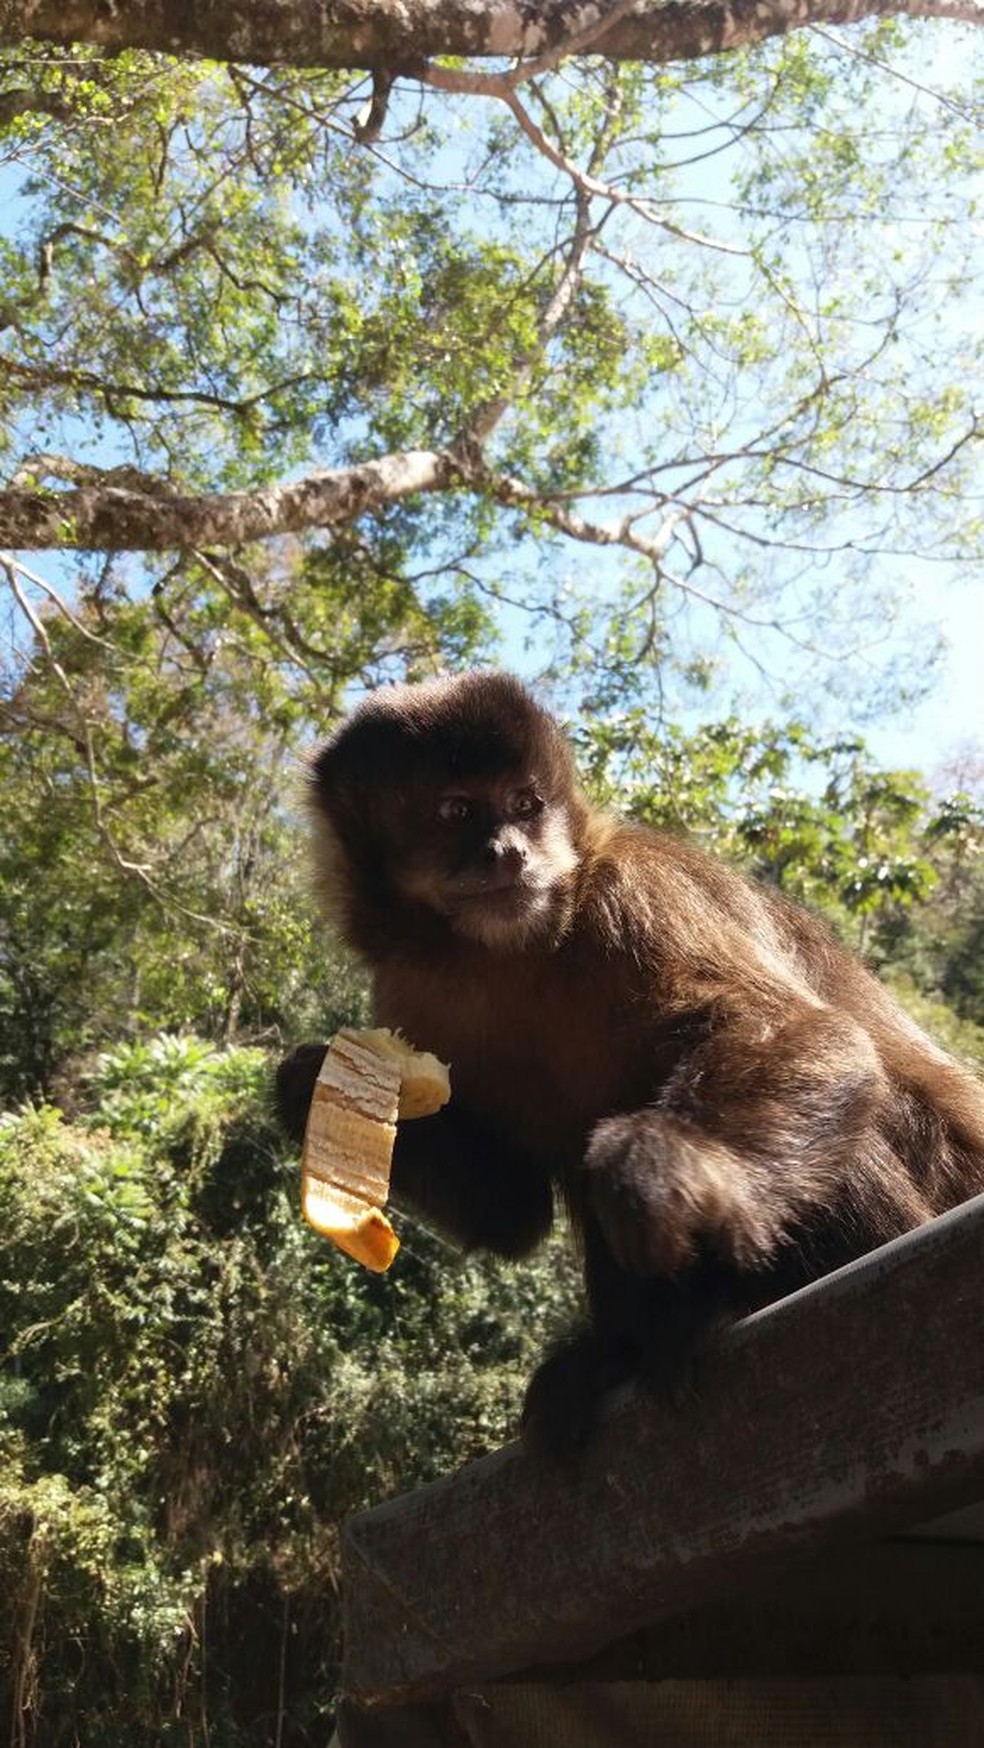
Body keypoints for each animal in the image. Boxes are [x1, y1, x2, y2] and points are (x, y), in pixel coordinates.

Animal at [276, 670, 984, 1455]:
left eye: (524, 805)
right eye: (457, 810)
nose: (509, 851)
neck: (505, 952)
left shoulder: (636, 889)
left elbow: (812, 1035)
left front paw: (674, 1169)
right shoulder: (408, 989)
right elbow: (512, 1208)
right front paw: (307, 1083)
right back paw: (614, 1354)